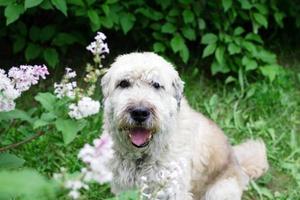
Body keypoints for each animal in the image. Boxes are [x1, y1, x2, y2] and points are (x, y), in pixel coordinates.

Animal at [101, 52, 270, 199]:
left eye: (156, 85)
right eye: (123, 83)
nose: (140, 112)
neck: (142, 158)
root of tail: (239, 166)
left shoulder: (173, 190)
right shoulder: (124, 189)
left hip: (220, 191)